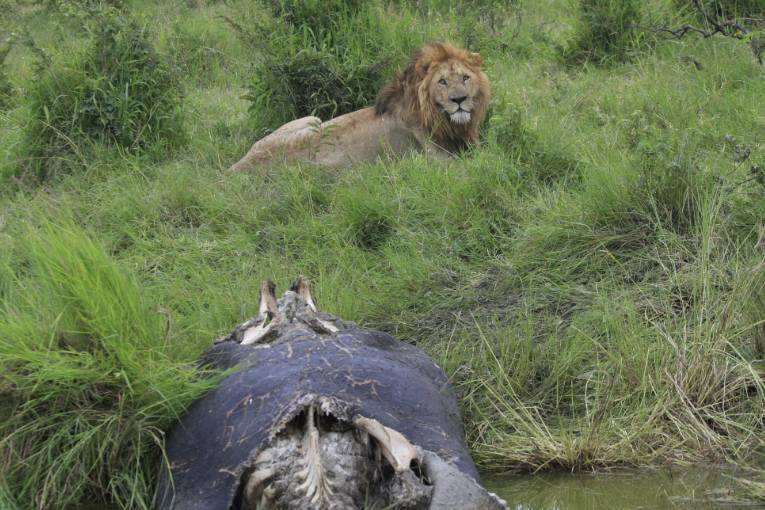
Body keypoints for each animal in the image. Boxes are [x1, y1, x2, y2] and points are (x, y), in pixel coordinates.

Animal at [228, 40, 490, 170]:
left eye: (465, 78)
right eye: (442, 82)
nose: (459, 100)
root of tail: (236, 169)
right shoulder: (440, 161)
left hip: (312, 119)